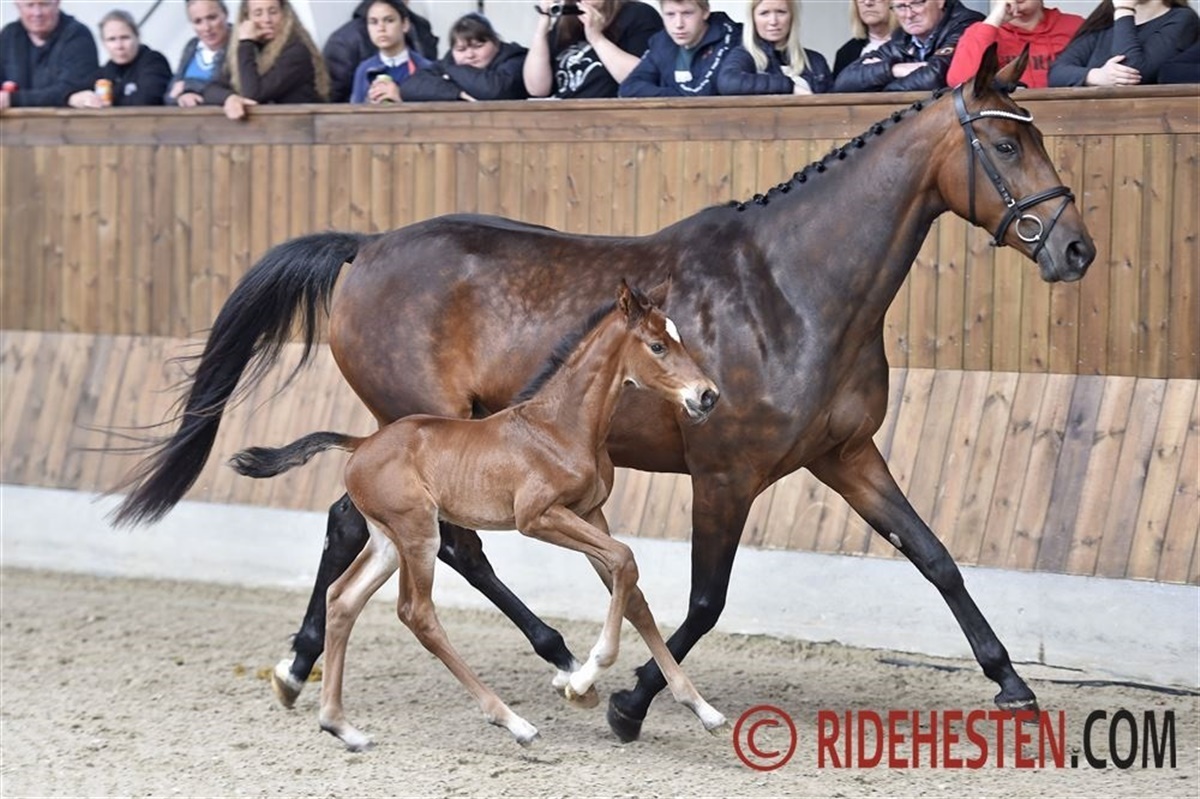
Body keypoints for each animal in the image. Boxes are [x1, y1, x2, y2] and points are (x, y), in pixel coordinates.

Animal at [228, 280, 726, 750]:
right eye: (657, 345)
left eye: (680, 339)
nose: (707, 396)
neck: (562, 426)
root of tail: (362, 444)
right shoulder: (538, 517)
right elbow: (625, 559)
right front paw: (582, 679)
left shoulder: (590, 513)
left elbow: (633, 592)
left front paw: (703, 709)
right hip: (418, 533)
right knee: (417, 613)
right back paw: (514, 723)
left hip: (388, 541)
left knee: (343, 599)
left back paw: (341, 727)